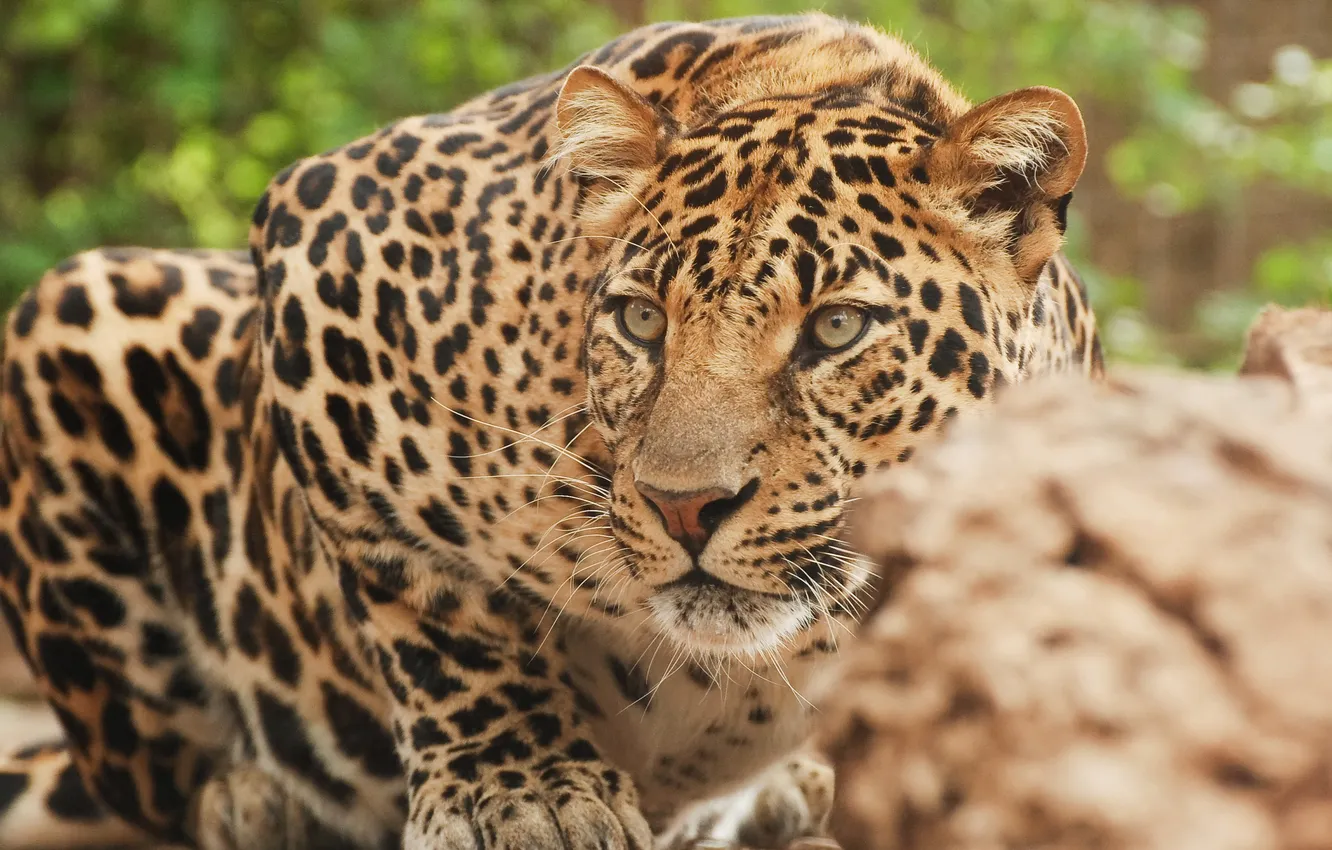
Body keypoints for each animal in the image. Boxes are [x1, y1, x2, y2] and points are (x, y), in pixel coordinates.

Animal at [0, 13, 1102, 850]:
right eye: (642, 321)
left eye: (836, 327)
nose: (684, 507)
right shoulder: (324, 245)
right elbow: (430, 601)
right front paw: (523, 790)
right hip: (71, 311)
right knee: (162, 773)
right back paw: (253, 799)